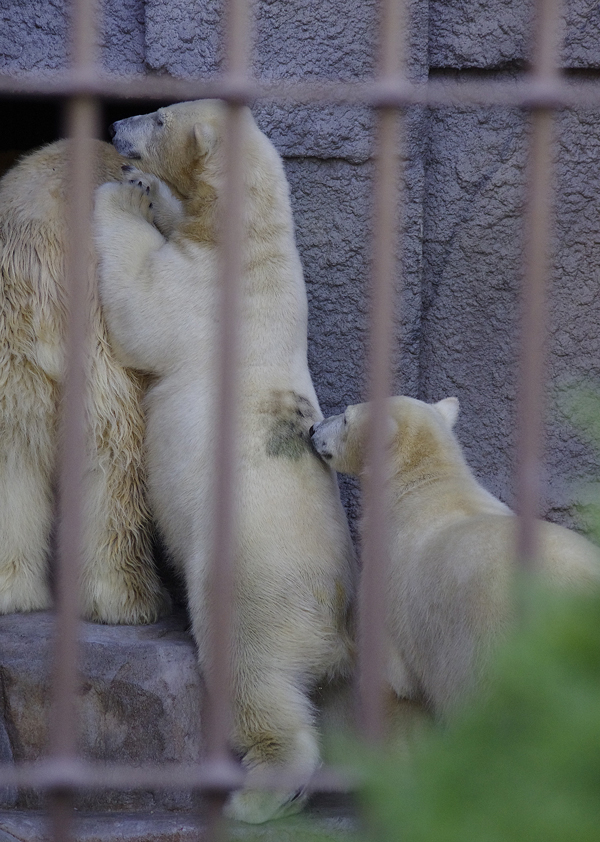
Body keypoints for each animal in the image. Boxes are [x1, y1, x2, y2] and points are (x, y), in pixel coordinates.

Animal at [0, 139, 169, 624]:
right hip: (99, 332)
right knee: (117, 447)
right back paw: (130, 598)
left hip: (14, 347)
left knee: (14, 447)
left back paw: (14, 592)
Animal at [94, 98, 356, 820]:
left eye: (158, 118)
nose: (116, 126)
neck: (250, 245)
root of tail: (335, 617)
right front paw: (146, 190)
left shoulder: (205, 295)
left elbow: (141, 305)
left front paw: (122, 193)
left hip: (254, 584)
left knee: (251, 674)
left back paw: (259, 794)